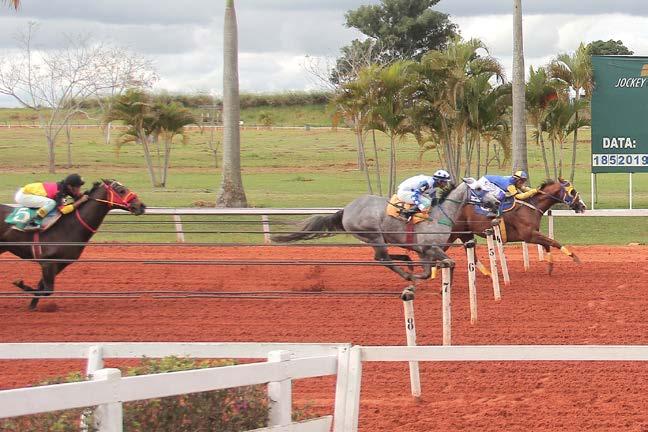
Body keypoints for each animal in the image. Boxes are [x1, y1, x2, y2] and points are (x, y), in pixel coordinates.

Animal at [0, 179, 146, 310]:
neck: (70, 226)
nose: (142, 206)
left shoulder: (60, 264)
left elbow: (43, 287)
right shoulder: (47, 261)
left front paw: (32, 306)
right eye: (121, 190)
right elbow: (47, 290)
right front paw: (19, 283)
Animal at [272, 178, 502, 282]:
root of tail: (346, 210)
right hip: (373, 235)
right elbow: (449, 263)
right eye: (479, 188)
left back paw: (407, 264)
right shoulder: (431, 247)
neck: (440, 214)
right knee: (382, 258)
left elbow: (428, 271)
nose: (496, 201)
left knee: (383, 257)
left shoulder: (425, 252)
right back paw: (406, 272)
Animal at [450, 178, 588, 274]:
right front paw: (574, 257)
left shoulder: (533, 234)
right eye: (572, 191)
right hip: (454, 233)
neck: (531, 207)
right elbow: (553, 242)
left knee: (472, 254)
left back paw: (488, 273)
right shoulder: (529, 235)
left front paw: (550, 266)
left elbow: (547, 244)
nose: (583, 206)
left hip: (466, 234)